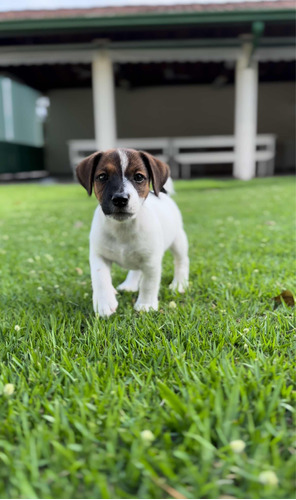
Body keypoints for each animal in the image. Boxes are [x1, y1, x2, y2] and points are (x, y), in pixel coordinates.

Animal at [75, 148, 188, 316]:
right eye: (102, 176)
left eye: (139, 177)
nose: (120, 199)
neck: (123, 229)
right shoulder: (98, 255)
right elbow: (100, 278)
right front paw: (104, 302)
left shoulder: (151, 261)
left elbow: (149, 283)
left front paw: (146, 305)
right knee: (136, 270)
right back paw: (130, 284)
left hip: (178, 241)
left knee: (181, 261)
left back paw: (179, 283)